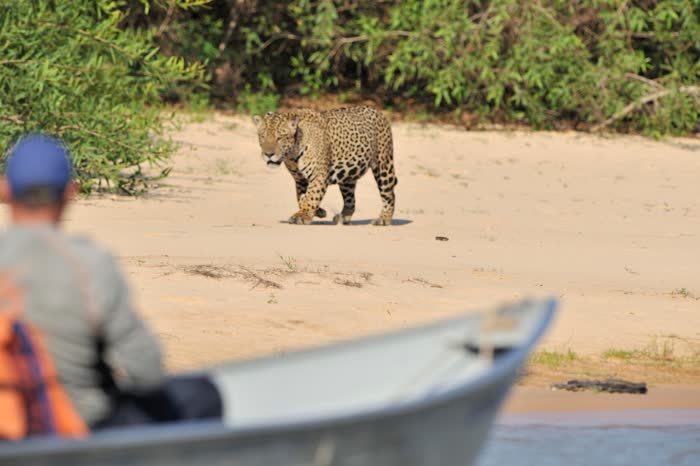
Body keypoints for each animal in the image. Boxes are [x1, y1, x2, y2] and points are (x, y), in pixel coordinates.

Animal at [252, 106, 397, 226]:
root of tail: (378, 111)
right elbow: (301, 198)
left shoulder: (318, 175)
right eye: (262, 136)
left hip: (383, 166)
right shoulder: (299, 179)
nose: (268, 154)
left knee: (389, 194)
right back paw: (344, 217)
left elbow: (311, 195)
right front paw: (318, 211)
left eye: (280, 138)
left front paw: (302, 216)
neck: (292, 154)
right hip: (347, 177)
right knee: (350, 200)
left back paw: (383, 219)